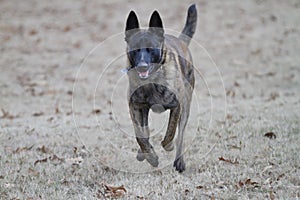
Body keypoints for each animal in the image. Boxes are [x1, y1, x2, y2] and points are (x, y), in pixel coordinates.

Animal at [123, 3, 197, 173]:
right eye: (135, 49)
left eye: (151, 49)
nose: (142, 66)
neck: (151, 82)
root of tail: (180, 41)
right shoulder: (136, 107)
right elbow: (140, 135)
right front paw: (150, 156)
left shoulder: (177, 106)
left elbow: (171, 131)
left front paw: (167, 146)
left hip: (186, 107)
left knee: (180, 134)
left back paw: (179, 161)